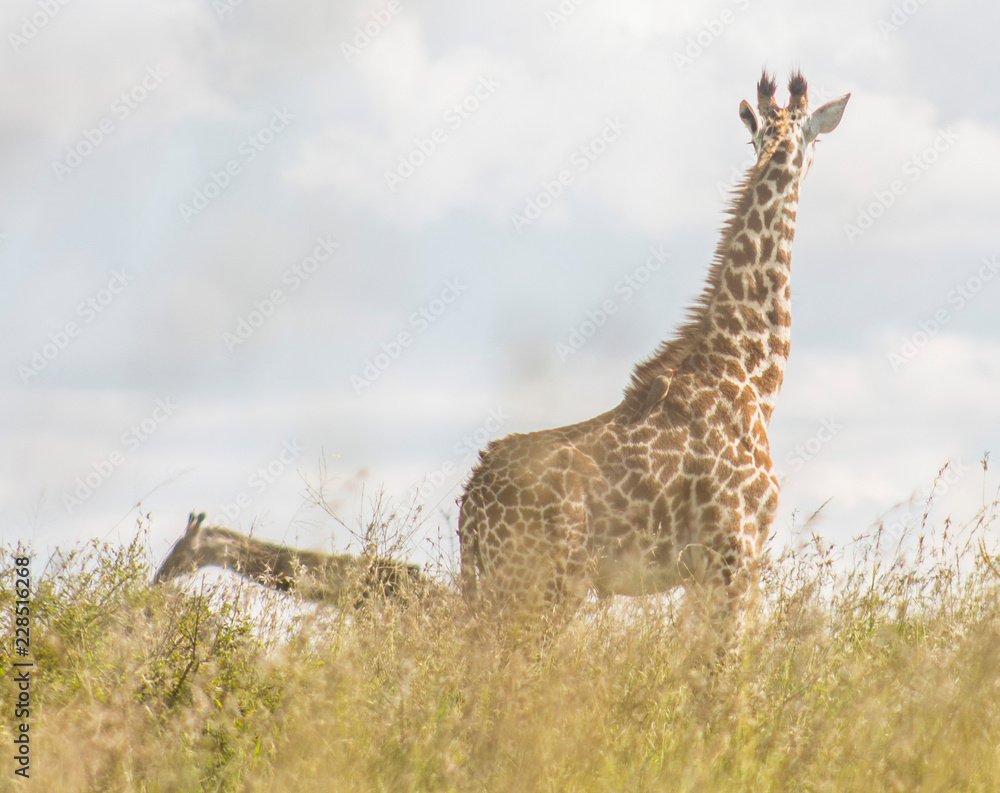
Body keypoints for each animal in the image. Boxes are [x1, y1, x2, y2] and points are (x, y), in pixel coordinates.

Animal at [458, 71, 849, 643]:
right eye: (813, 138)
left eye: (761, 137)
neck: (748, 370)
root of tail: (470, 506)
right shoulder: (736, 551)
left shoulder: (703, 570)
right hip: (545, 584)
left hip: (499, 583)